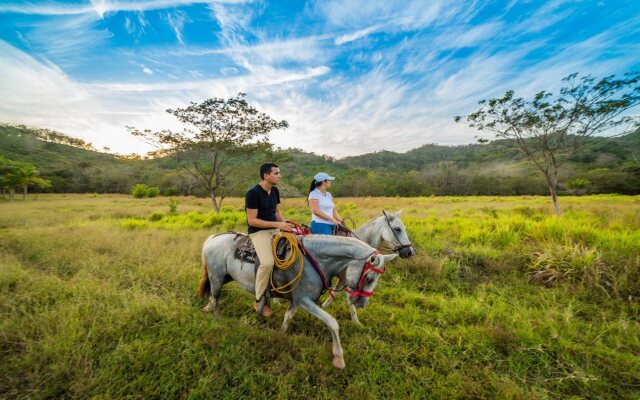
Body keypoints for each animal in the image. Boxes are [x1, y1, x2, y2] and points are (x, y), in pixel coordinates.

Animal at [198, 234, 398, 368]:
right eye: (370, 278)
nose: (362, 304)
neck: (316, 259)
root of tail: (212, 238)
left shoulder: (296, 300)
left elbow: (288, 317)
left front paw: (281, 335)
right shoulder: (304, 300)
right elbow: (332, 323)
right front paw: (339, 358)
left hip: (224, 277)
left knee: (212, 298)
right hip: (217, 278)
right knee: (215, 299)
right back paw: (219, 321)